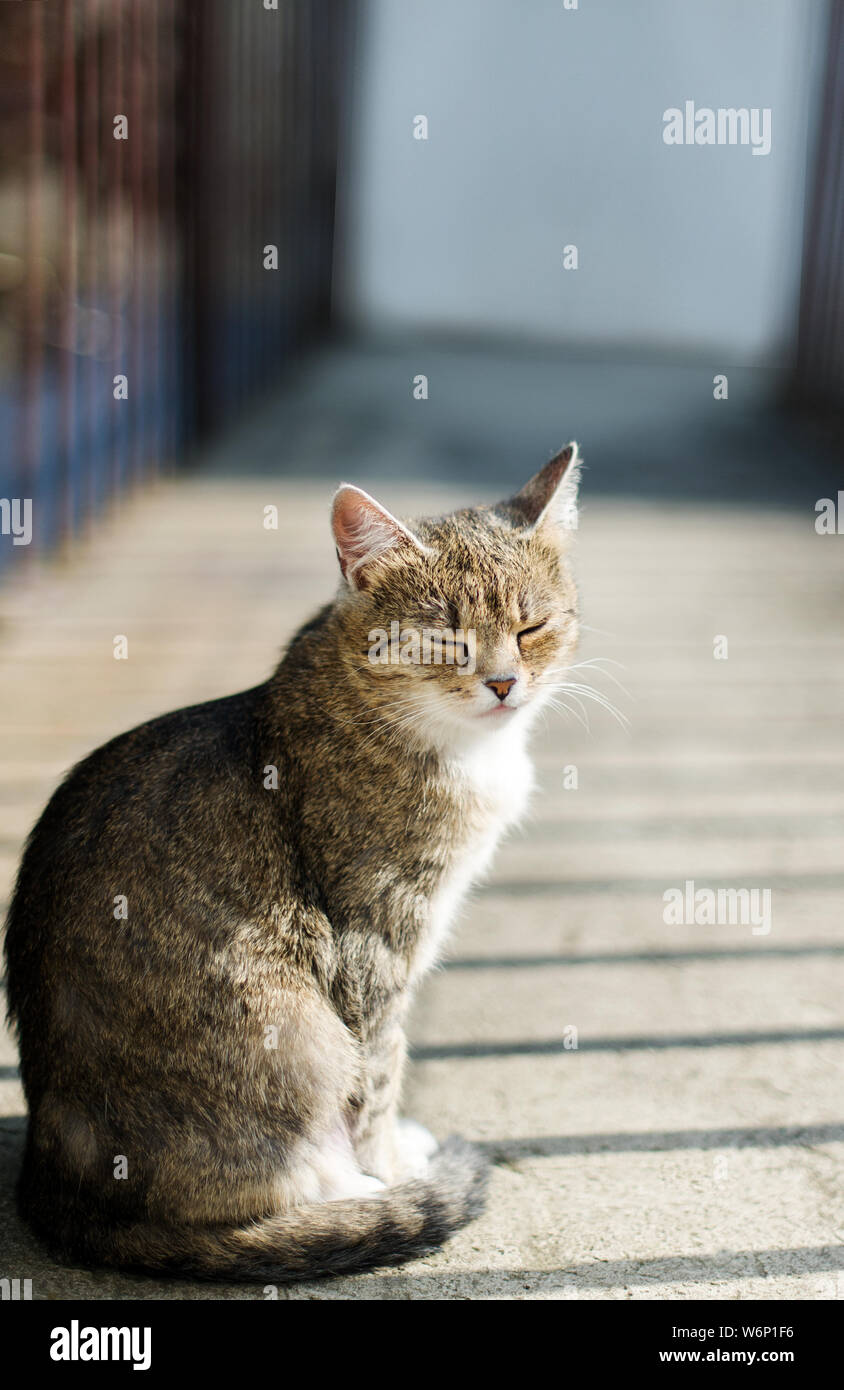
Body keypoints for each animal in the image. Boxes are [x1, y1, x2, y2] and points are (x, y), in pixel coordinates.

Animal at [3, 444, 581, 1278]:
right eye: (445, 640)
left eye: (533, 626)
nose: (504, 683)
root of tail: (55, 1186)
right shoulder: (373, 942)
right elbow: (382, 1071)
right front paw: (391, 1169)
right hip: (296, 1031)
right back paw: (356, 1189)